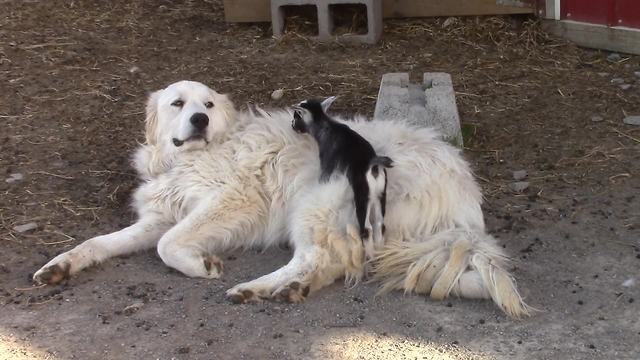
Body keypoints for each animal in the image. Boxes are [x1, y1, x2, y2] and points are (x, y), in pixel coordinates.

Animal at [31, 80, 528, 316]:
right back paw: (291, 288)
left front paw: (201, 265)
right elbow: (99, 243)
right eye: (177, 104)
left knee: (316, 257)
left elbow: (168, 246)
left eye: (207, 105)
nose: (198, 120)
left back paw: (255, 288)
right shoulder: (160, 214)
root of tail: (465, 199)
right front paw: (59, 266)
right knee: (333, 263)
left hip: (314, 205)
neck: (191, 155)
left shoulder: (232, 201)